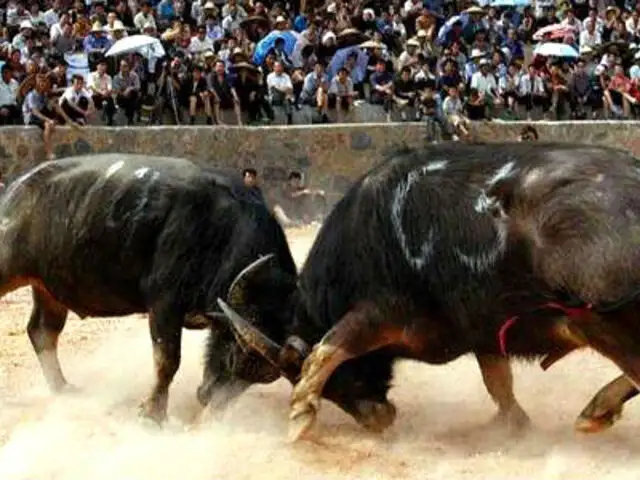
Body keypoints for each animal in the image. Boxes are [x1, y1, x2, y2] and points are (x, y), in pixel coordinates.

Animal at [0, 155, 298, 424]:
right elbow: (168, 360)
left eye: (254, 379)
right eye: (235, 355)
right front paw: (153, 415)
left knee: (42, 331)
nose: (209, 399)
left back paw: (62, 388)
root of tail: (14, 192)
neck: (219, 232)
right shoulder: (164, 304)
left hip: (49, 288)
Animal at [214, 142, 640, 442]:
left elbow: (326, 349)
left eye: (343, 383)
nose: (378, 419)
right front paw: (515, 425)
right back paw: (595, 411)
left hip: (604, 324)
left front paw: (299, 420)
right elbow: (498, 384)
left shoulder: (376, 314)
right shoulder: (483, 330)